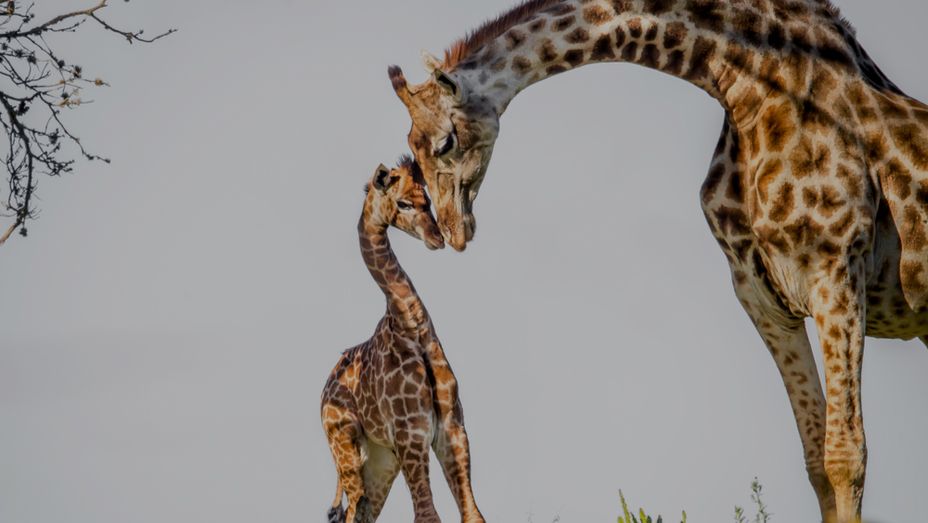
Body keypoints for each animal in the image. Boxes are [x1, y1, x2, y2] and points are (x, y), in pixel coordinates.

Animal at [321, 158, 485, 523]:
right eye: (403, 203)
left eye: (426, 198)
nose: (437, 238)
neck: (411, 328)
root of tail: (322, 395)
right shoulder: (411, 434)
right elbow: (427, 515)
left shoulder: (452, 428)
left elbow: (472, 514)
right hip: (347, 449)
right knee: (351, 511)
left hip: (381, 460)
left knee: (362, 512)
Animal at [385, 1, 928, 521]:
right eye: (409, 150)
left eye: (444, 142)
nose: (452, 232)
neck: (749, 88)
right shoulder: (764, 299)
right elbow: (816, 461)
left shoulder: (836, 273)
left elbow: (845, 456)